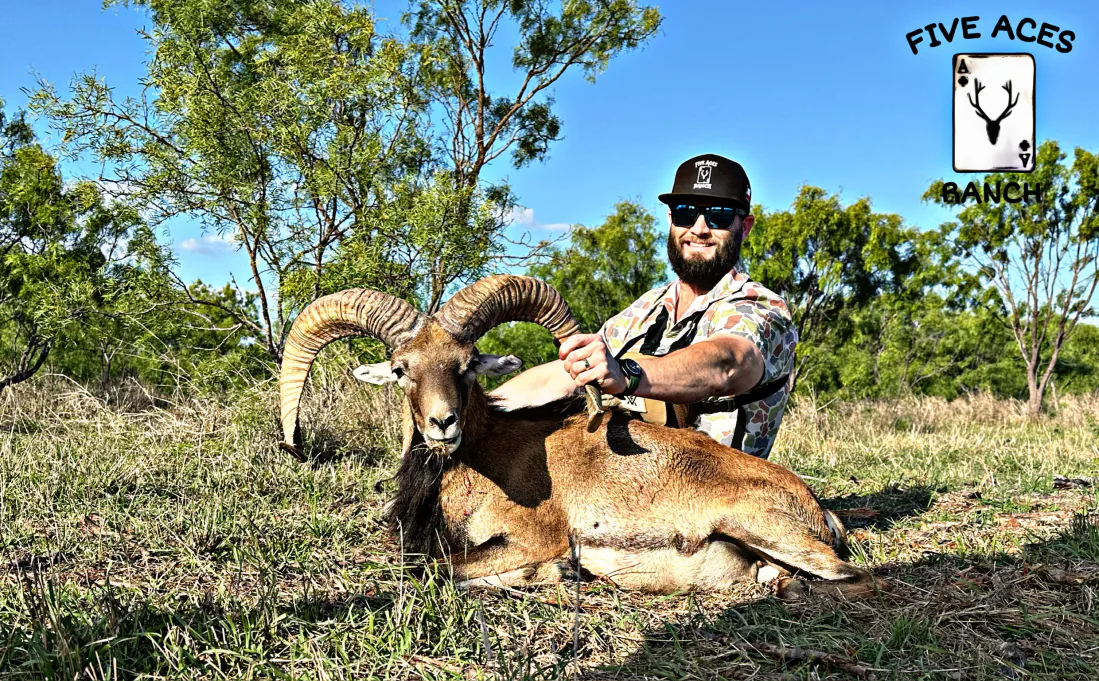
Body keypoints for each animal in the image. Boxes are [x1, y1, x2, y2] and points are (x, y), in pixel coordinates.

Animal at [278, 275, 883, 597]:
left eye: (467, 364)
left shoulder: (528, 536)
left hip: (762, 527)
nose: (442, 424)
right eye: (402, 369)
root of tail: (814, 506)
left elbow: (449, 571)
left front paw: (560, 570)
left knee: (856, 578)